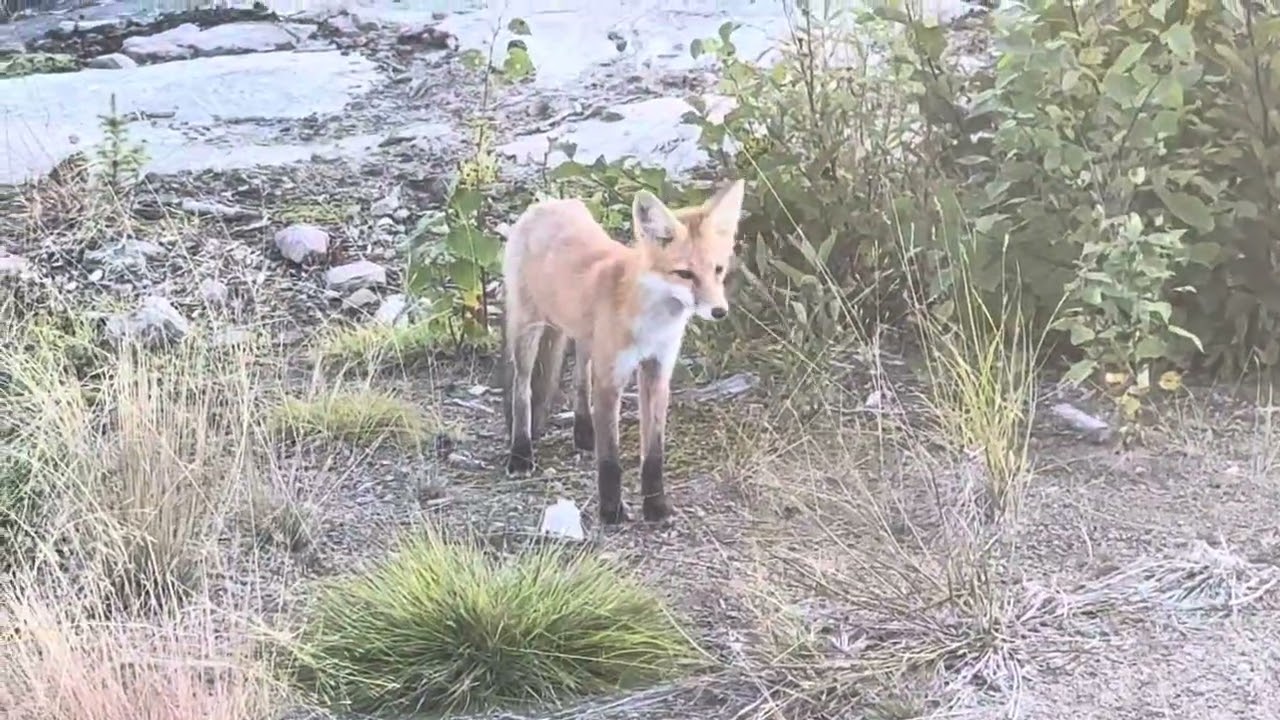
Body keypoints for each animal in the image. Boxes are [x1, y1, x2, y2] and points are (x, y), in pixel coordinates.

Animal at [500, 179, 746, 525]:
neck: (652, 323)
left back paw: (583, 433)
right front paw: (611, 510)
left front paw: (656, 507)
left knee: (579, 381)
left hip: (584, 341)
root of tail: (547, 203)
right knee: (522, 390)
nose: (719, 312)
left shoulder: (657, 372)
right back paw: (521, 452)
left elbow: (653, 456)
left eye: (718, 270)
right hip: (528, 330)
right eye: (685, 274)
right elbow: (610, 461)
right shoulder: (611, 380)